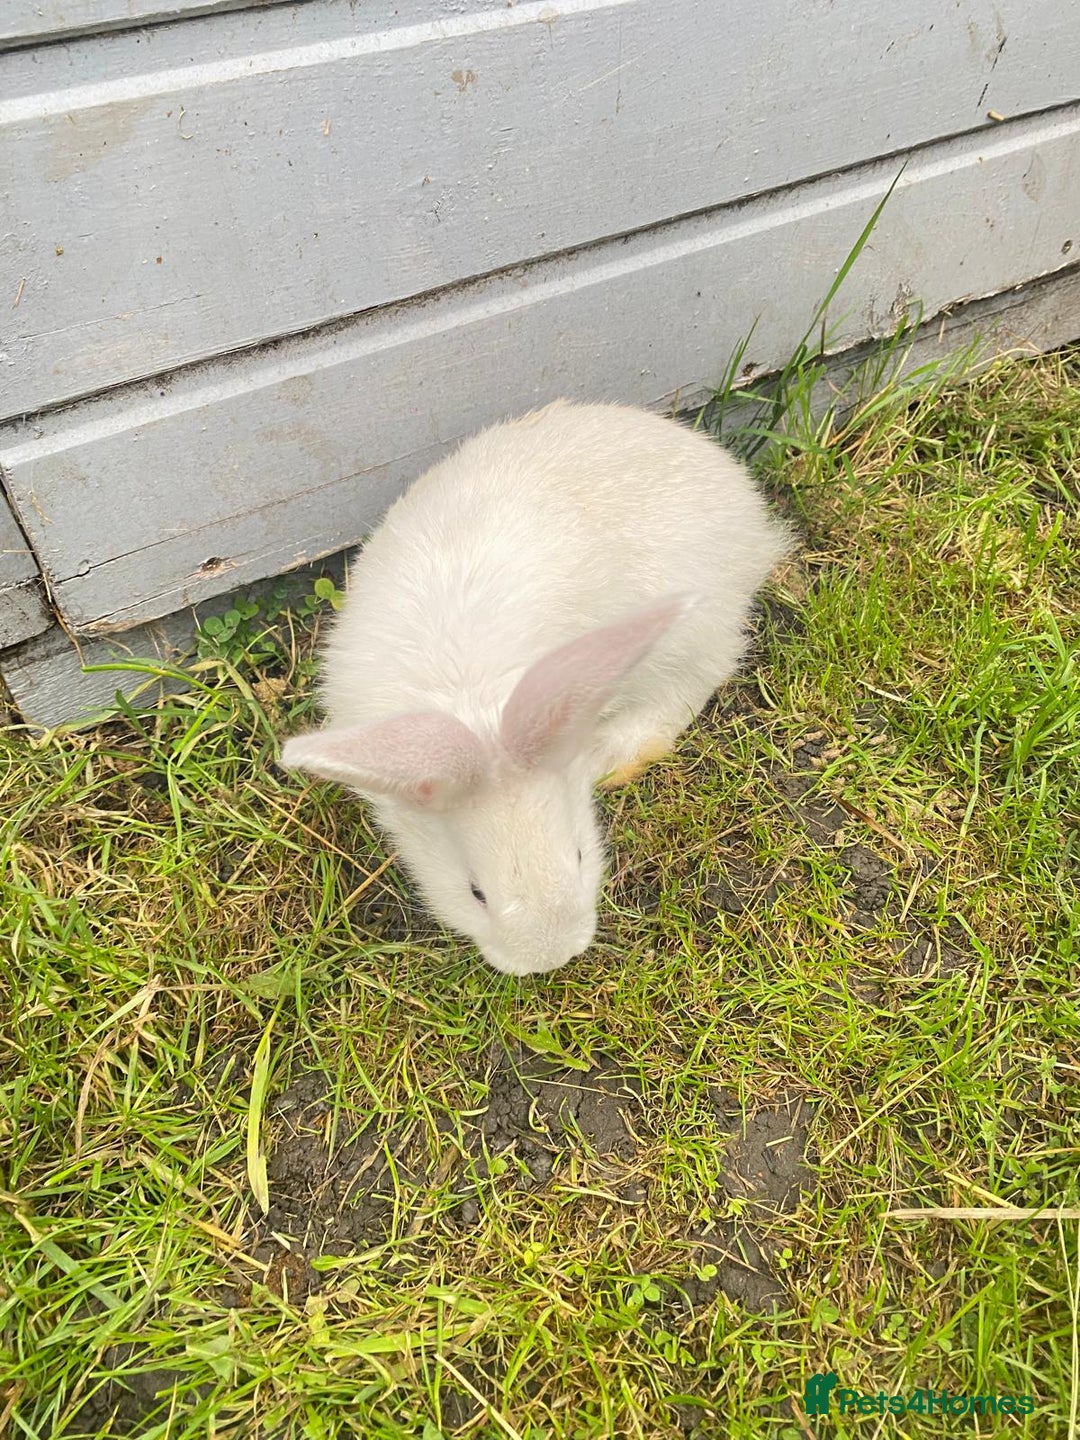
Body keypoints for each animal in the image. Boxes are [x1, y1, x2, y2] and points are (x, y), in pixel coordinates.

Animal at [280, 398, 793, 977]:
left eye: (579, 855)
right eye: (475, 892)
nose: (550, 957)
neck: (473, 702)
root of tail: (746, 511)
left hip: (683, 637)